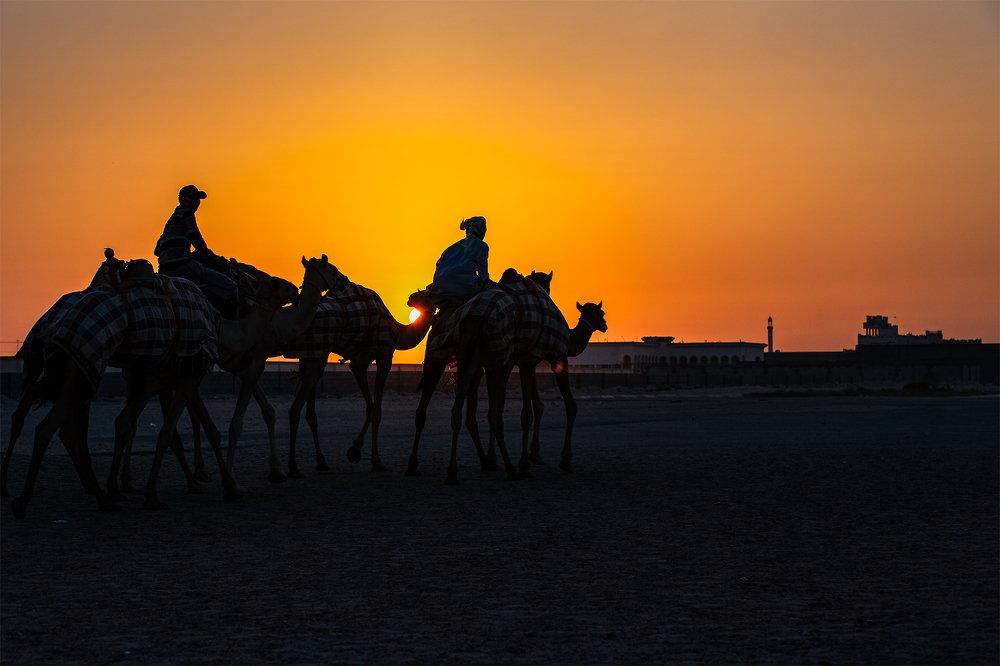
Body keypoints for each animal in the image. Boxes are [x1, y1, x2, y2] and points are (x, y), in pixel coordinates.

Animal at [276, 280, 436, 476]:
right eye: (426, 292)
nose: (410, 298)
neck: (399, 331)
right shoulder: (384, 356)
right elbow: (376, 410)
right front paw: (376, 461)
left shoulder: (358, 363)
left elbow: (370, 406)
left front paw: (355, 450)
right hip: (317, 355)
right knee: (295, 409)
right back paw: (293, 467)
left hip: (313, 354)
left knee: (310, 411)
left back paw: (321, 461)